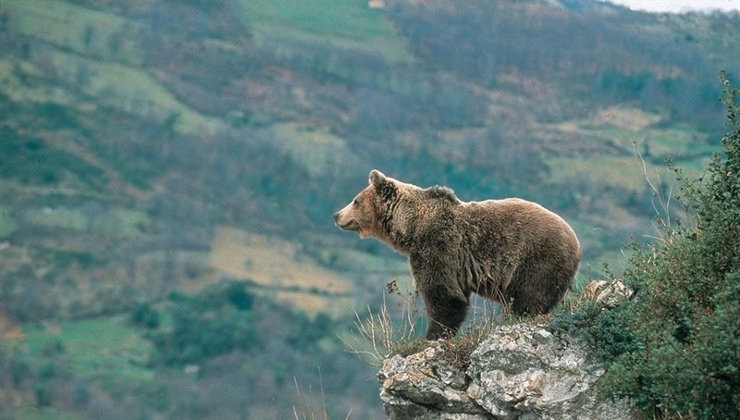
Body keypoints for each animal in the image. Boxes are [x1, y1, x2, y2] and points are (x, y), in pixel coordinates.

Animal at [336, 169, 584, 340]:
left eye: (355, 200)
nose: (336, 214)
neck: (411, 227)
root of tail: (576, 241)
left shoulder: (438, 247)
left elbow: (442, 293)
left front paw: (432, 335)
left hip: (536, 258)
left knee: (530, 297)